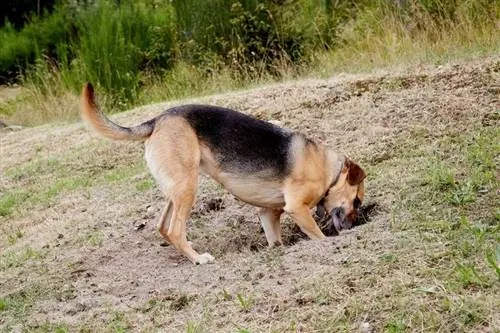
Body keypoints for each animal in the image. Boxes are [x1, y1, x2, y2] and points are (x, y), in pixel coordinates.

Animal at [80, 83, 366, 264]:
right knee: (175, 230)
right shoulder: (297, 208)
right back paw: (198, 259)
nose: (354, 227)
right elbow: (317, 235)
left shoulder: (268, 213)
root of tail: (157, 119)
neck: (329, 170)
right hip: (188, 187)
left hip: (176, 188)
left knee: (163, 227)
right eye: (357, 201)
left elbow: (275, 240)